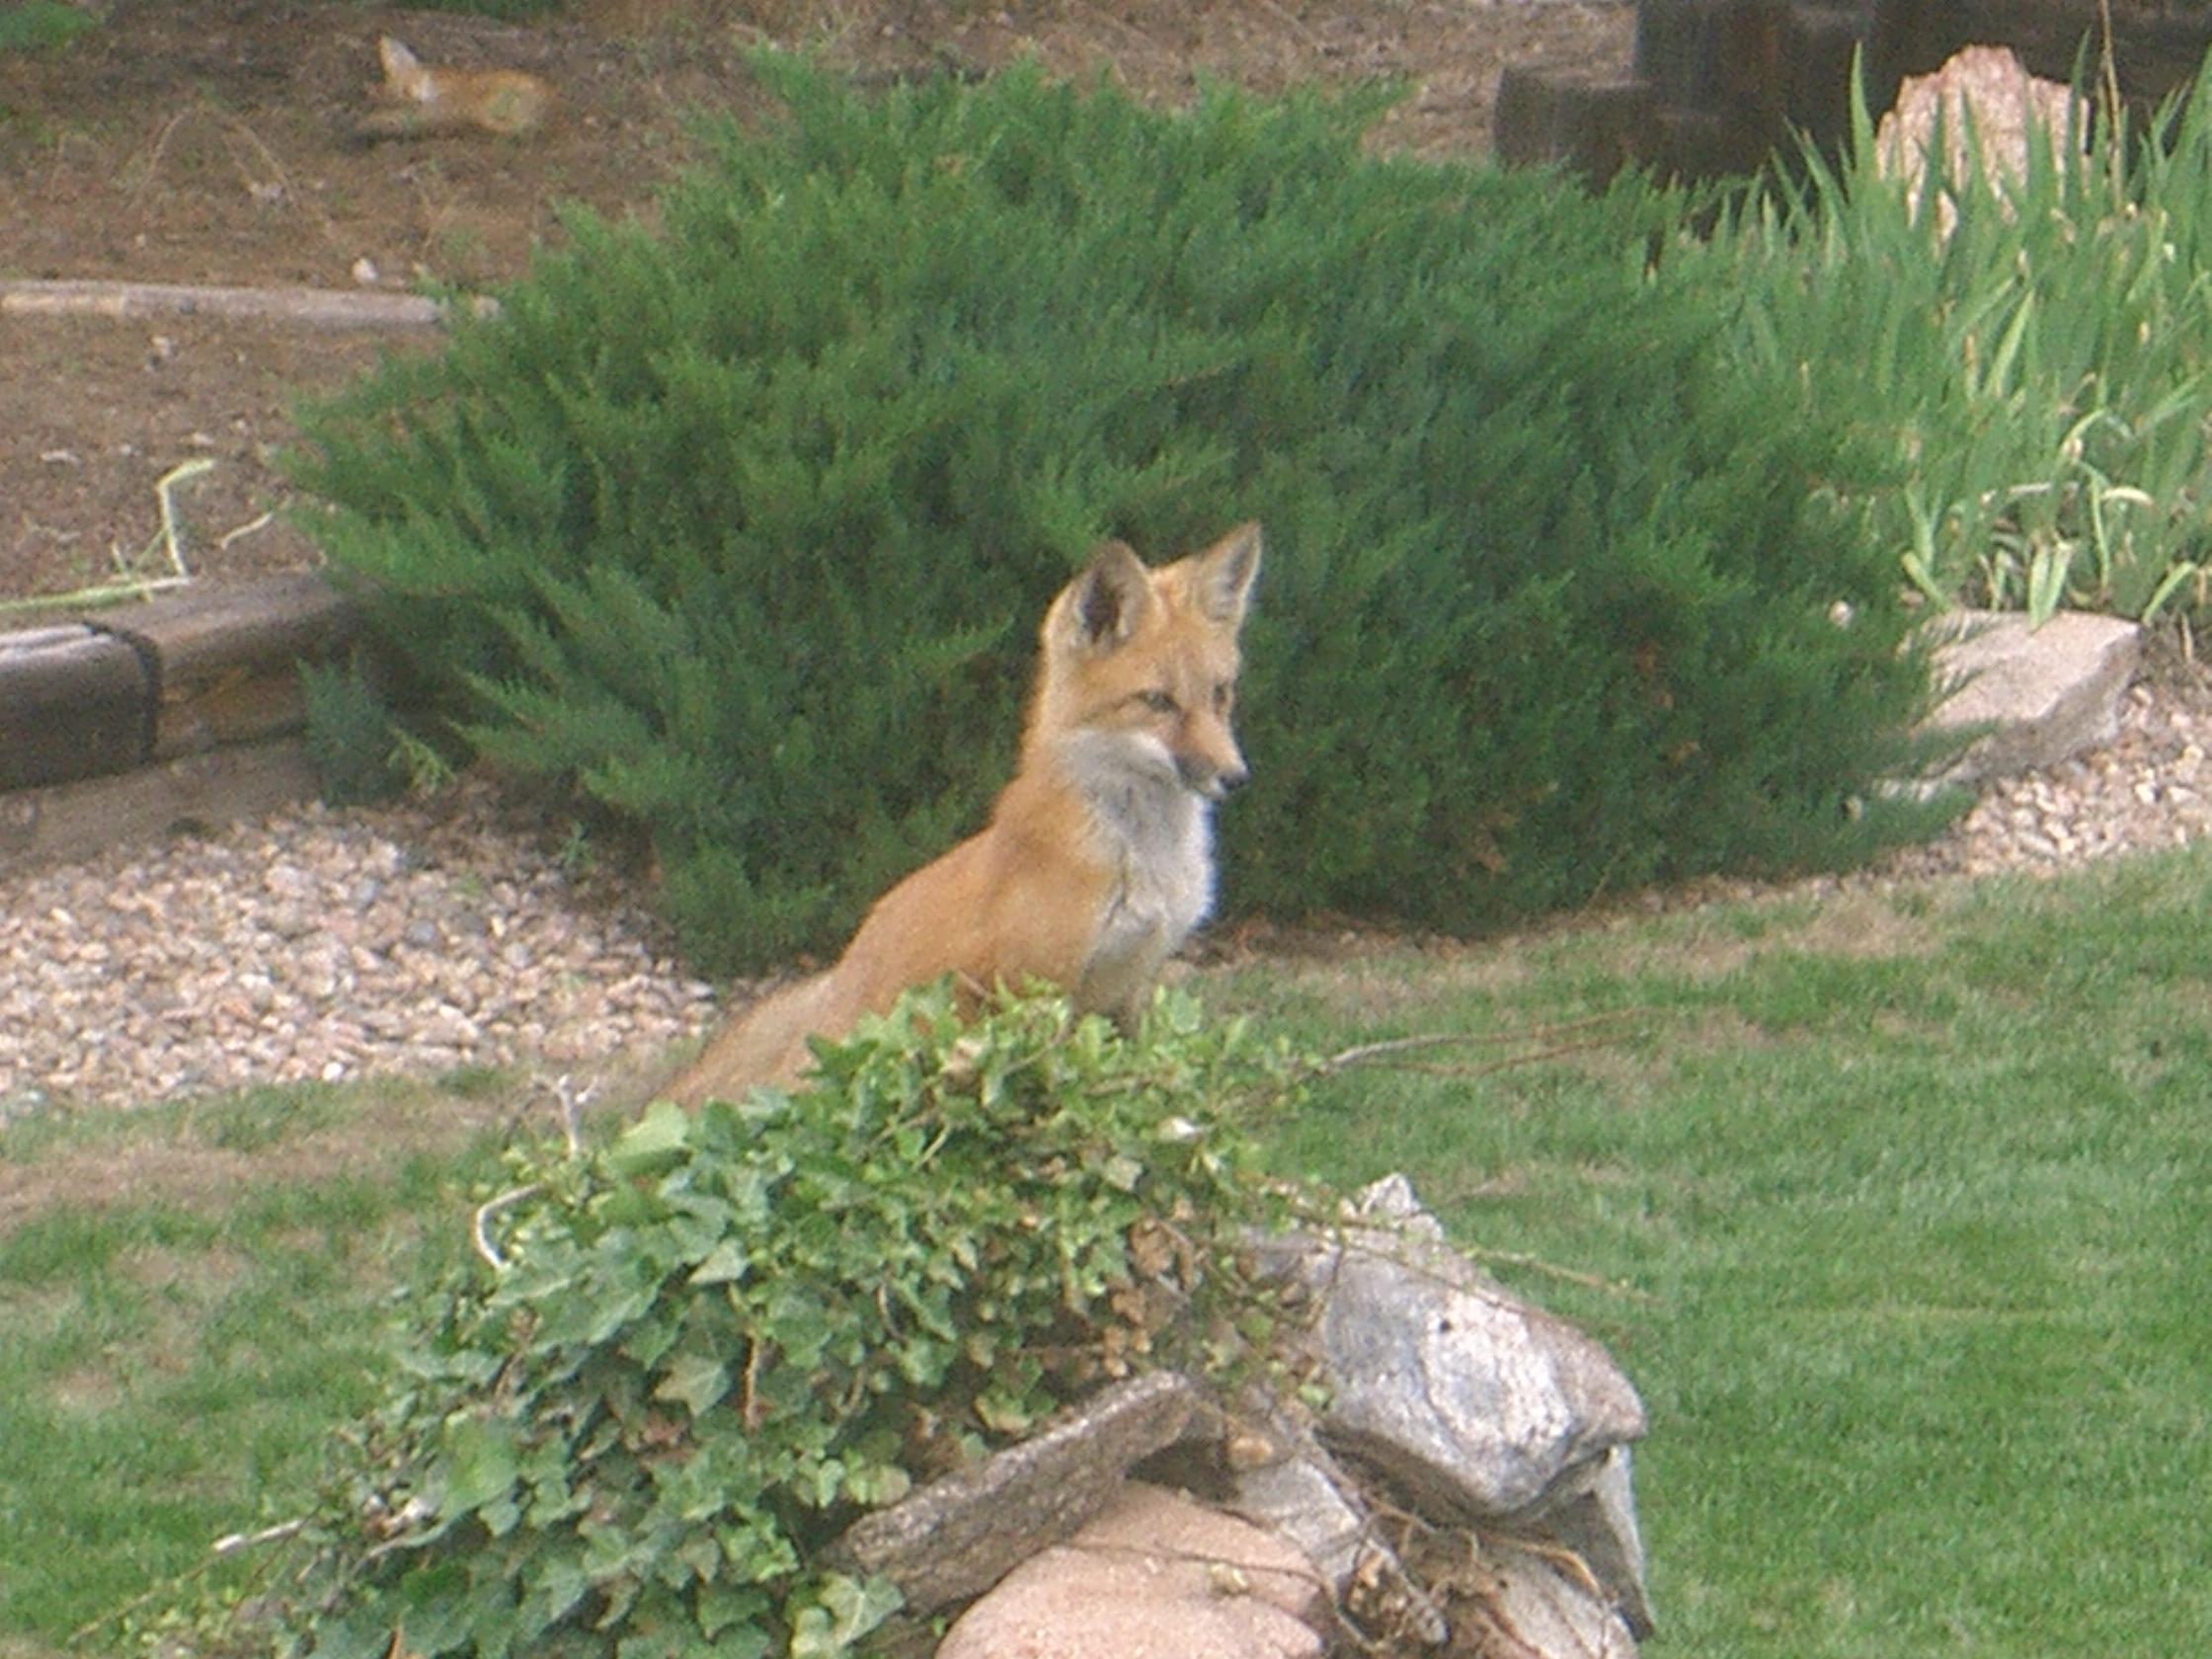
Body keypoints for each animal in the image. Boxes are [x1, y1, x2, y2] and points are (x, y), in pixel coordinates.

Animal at [665, 522, 1264, 1106]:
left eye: (1219, 694)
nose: (1236, 777)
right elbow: (1057, 1094)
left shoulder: (1135, 983)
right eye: (1158, 702)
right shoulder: (1040, 989)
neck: (1140, 858)